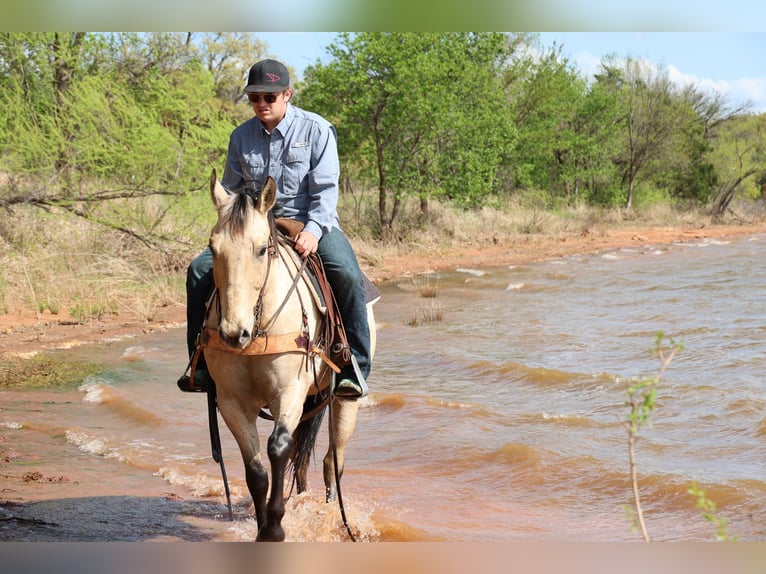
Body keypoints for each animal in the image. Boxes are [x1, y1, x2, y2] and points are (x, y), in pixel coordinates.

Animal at [200, 170, 376, 541]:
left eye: (261, 249)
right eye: (212, 247)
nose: (233, 333)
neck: (259, 326)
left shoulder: (290, 391)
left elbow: (277, 447)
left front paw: (276, 527)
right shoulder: (232, 401)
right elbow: (256, 469)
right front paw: (263, 526)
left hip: (342, 400)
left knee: (332, 461)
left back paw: (332, 517)